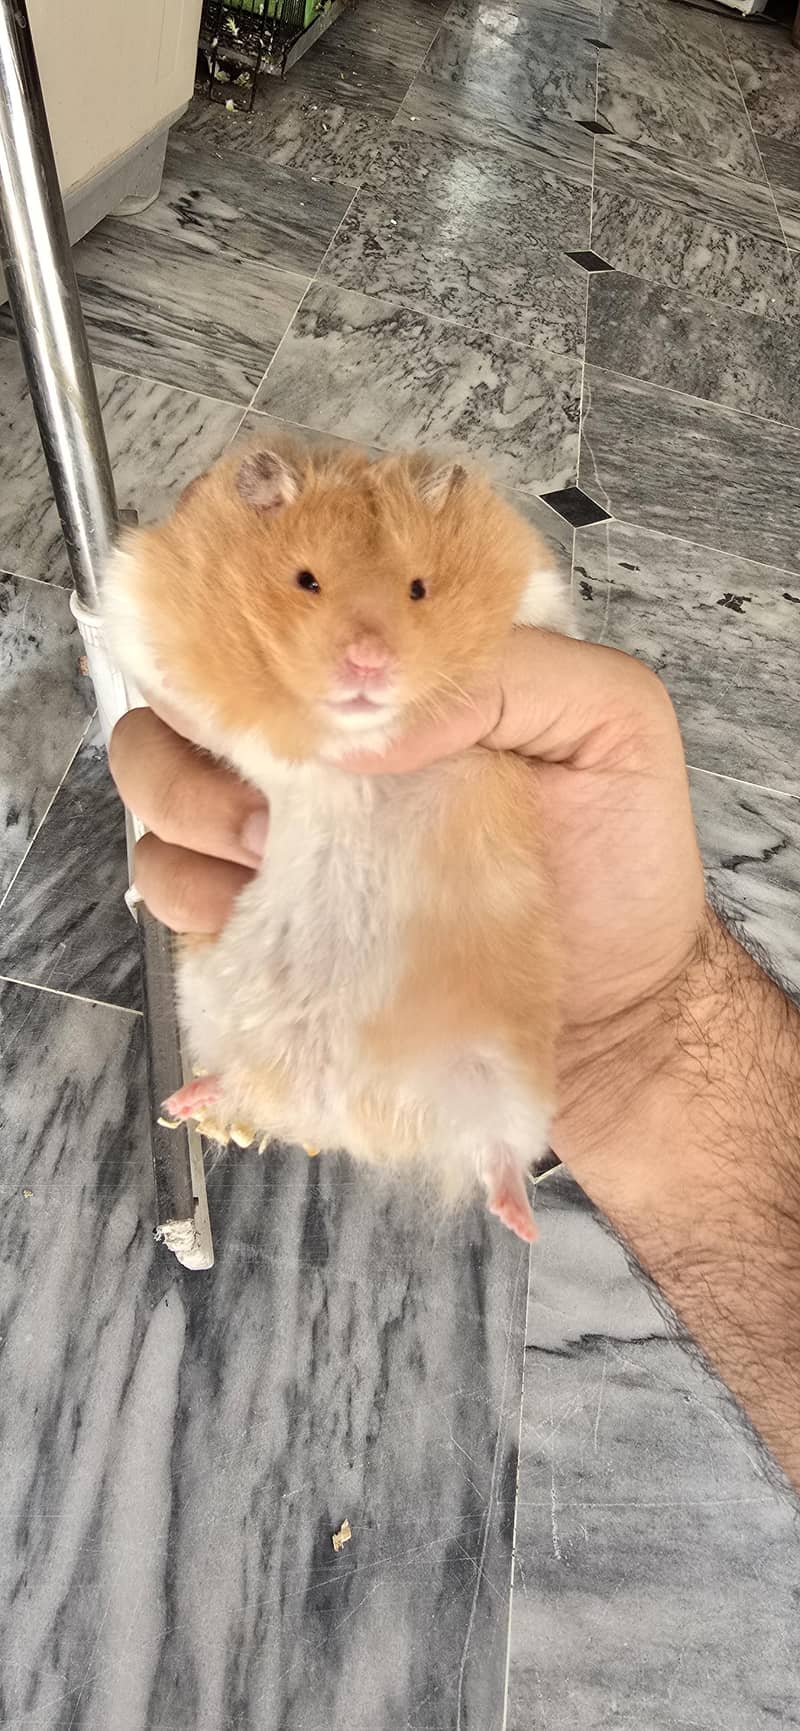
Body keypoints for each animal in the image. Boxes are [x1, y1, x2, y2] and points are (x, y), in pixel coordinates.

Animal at [103, 439, 573, 1242]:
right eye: (306, 580)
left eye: (418, 589)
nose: (367, 664)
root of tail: (336, 1109)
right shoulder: (148, 599)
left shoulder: (534, 598)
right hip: (209, 1003)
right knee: (235, 1077)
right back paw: (183, 1102)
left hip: (504, 1078)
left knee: (496, 1153)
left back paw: (522, 1222)